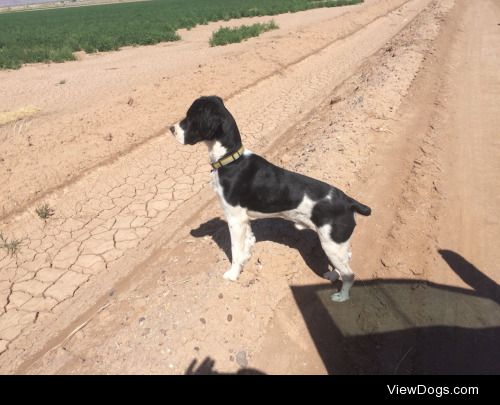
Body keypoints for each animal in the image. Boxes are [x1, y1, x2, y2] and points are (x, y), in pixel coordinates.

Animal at [170, 95, 370, 300]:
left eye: (190, 117)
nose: (171, 129)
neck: (231, 160)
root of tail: (349, 201)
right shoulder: (244, 219)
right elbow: (247, 243)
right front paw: (246, 259)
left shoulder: (235, 218)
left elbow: (235, 250)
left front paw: (233, 274)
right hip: (337, 245)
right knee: (347, 259)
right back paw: (332, 275)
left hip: (331, 245)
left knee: (350, 274)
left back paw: (342, 296)